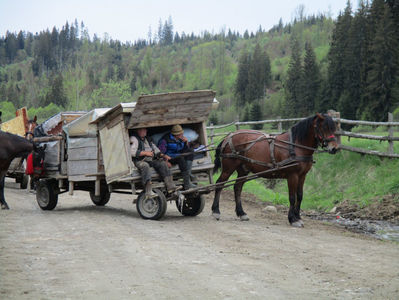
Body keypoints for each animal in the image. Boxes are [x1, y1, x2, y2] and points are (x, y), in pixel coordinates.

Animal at [211, 113, 340, 226]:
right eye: (323, 127)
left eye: (333, 128)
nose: (334, 148)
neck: (295, 146)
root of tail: (229, 136)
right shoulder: (292, 175)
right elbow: (292, 197)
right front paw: (292, 219)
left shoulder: (302, 175)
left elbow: (300, 196)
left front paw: (298, 217)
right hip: (228, 168)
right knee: (219, 184)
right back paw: (216, 211)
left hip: (243, 169)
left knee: (237, 188)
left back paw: (241, 213)